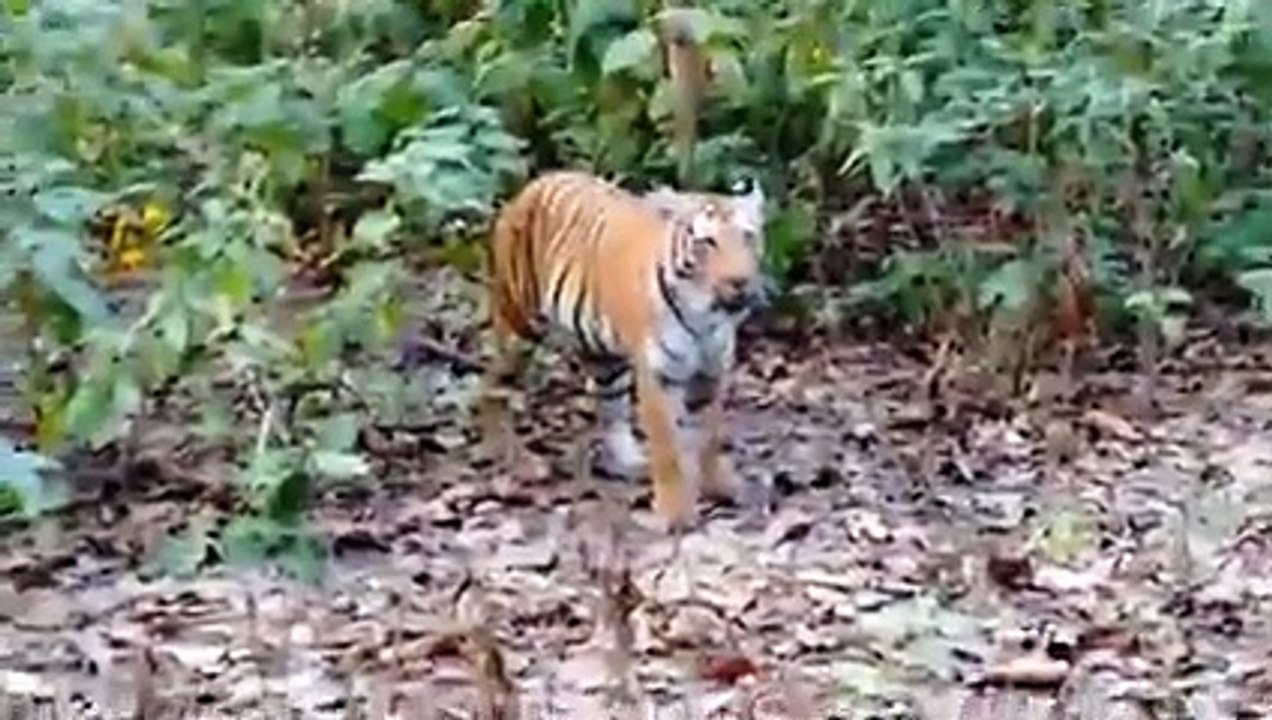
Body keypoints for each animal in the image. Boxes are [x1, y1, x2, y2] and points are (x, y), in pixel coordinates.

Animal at [479, 169, 769, 530]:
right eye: (707, 242)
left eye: (748, 237)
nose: (739, 281)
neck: (707, 312)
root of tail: (536, 182)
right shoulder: (657, 373)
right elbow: (667, 446)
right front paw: (674, 512)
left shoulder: (712, 370)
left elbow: (710, 436)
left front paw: (719, 487)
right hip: (519, 324)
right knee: (493, 386)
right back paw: (512, 458)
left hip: (602, 351)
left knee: (611, 406)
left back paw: (628, 462)